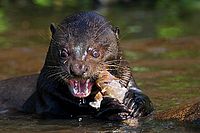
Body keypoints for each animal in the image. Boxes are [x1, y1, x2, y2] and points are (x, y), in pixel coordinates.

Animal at [1, 11, 153, 120]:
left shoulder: (128, 78)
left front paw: (135, 103)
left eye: (95, 52)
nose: (78, 69)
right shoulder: (47, 93)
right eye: (63, 52)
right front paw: (108, 106)